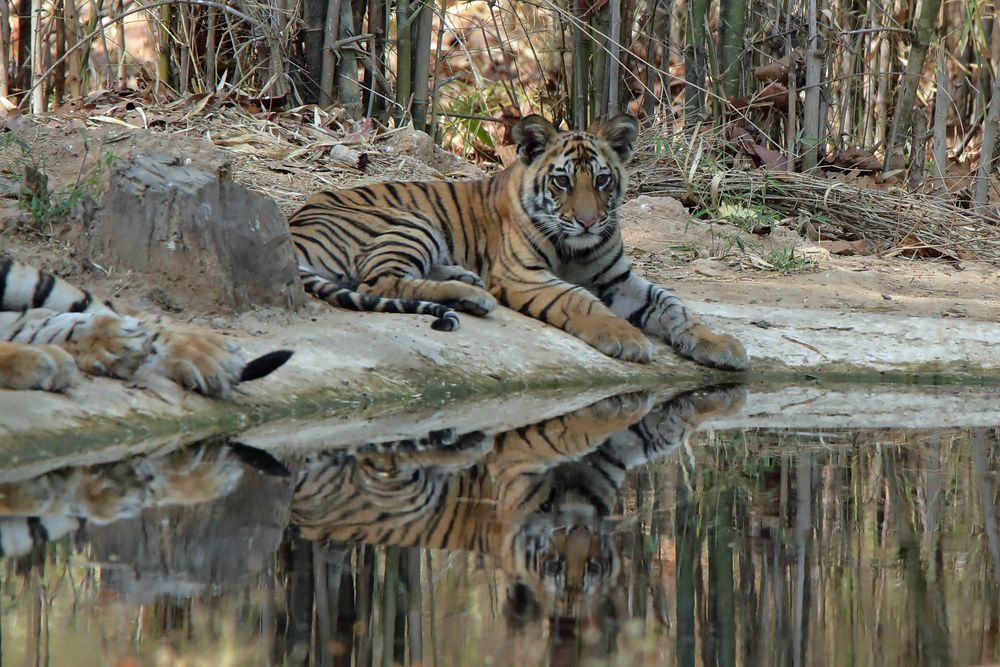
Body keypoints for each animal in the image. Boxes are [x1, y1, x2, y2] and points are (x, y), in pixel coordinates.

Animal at [286, 117, 748, 374]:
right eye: (562, 181)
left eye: (602, 180)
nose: (588, 221)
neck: (575, 247)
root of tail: (294, 228)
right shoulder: (523, 275)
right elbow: (579, 300)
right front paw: (625, 338)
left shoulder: (617, 279)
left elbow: (673, 305)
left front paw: (717, 343)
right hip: (409, 220)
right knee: (379, 281)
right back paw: (474, 295)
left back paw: (467, 282)